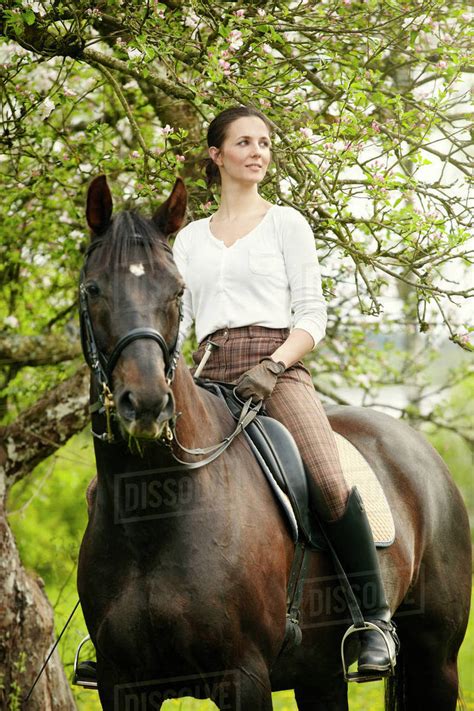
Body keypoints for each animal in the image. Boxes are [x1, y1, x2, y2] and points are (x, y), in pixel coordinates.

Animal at [78, 174, 470, 711]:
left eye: (177, 291)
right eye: (93, 288)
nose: (148, 403)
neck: (155, 513)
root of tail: (417, 446)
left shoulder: (243, 676)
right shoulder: (122, 684)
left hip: (437, 662)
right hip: (320, 674)